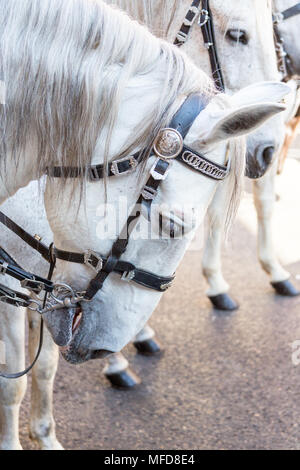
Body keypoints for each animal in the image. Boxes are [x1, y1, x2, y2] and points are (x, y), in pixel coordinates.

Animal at [0, 0, 288, 450]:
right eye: (238, 35)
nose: (270, 150)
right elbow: (13, 383)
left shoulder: (46, 287)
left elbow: (43, 367)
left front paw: (45, 435)